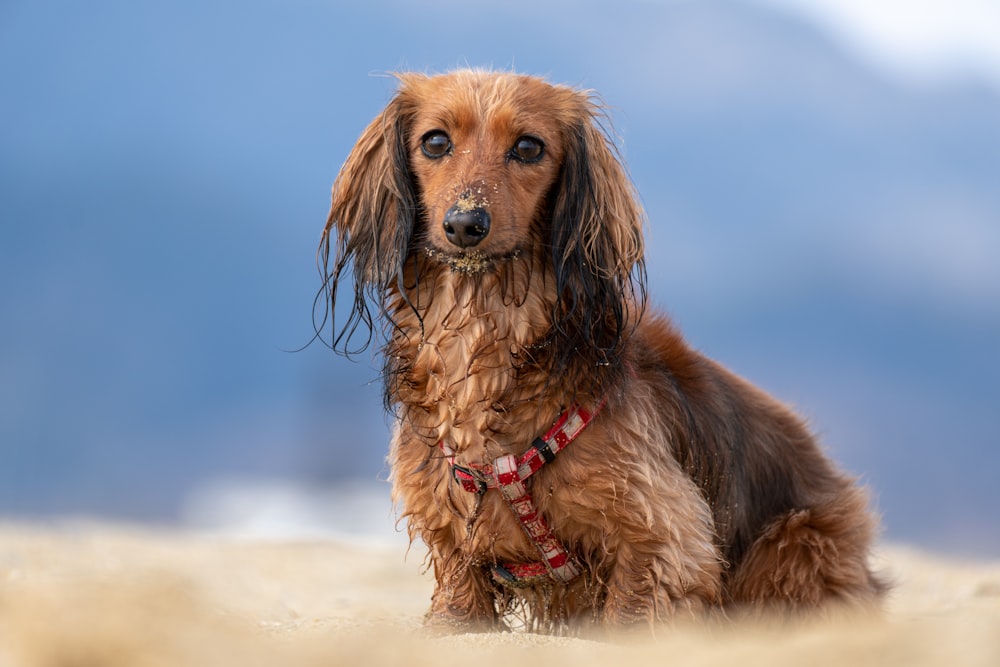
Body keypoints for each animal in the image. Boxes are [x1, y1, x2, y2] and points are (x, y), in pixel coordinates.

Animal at [314, 70, 884, 636]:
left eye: (528, 146)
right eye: (435, 142)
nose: (464, 225)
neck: (482, 336)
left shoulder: (665, 535)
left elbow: (630, 611)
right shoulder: (453, 537)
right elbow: (459, 605)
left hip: (797, 543)